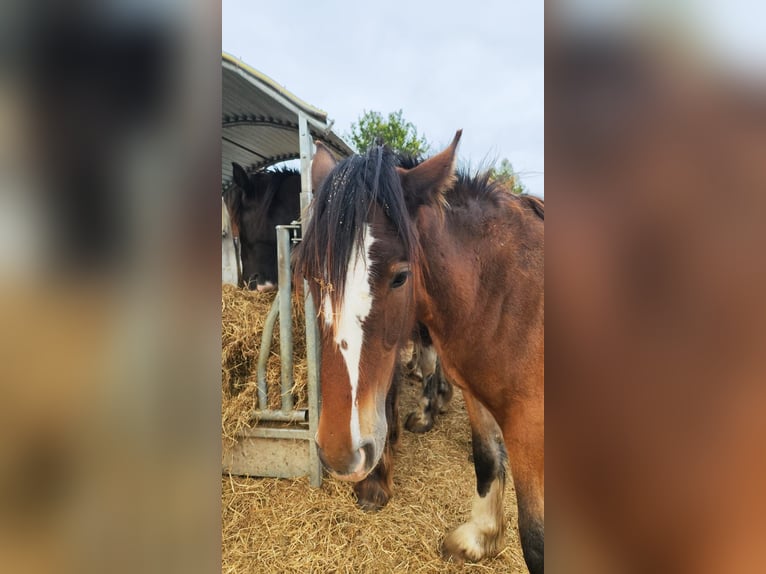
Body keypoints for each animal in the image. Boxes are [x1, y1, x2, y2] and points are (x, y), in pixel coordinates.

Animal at [294, 132, 544, 573]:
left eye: (400, 276)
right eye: (311, 275)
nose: (341, 454)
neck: (509, 301)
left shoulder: (530, 427)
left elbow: (535, 539)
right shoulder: (478, 396)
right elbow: (486, 459)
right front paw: (479, 539)